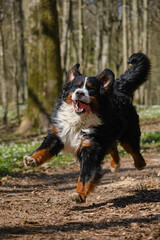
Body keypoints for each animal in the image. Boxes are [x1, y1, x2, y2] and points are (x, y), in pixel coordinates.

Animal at [23, 52, 151, 202]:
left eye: (90, 88)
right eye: (76, 86)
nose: (79, 93)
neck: (78, 120)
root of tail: (117, 90)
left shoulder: (91, 147)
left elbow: (85, 175)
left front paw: (79, 194)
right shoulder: (59, 134)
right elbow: (44, 149)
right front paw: (32, 159)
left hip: (127, 135)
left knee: (134, 151)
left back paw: (139, 164)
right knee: (113, 146)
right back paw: (115, 165)